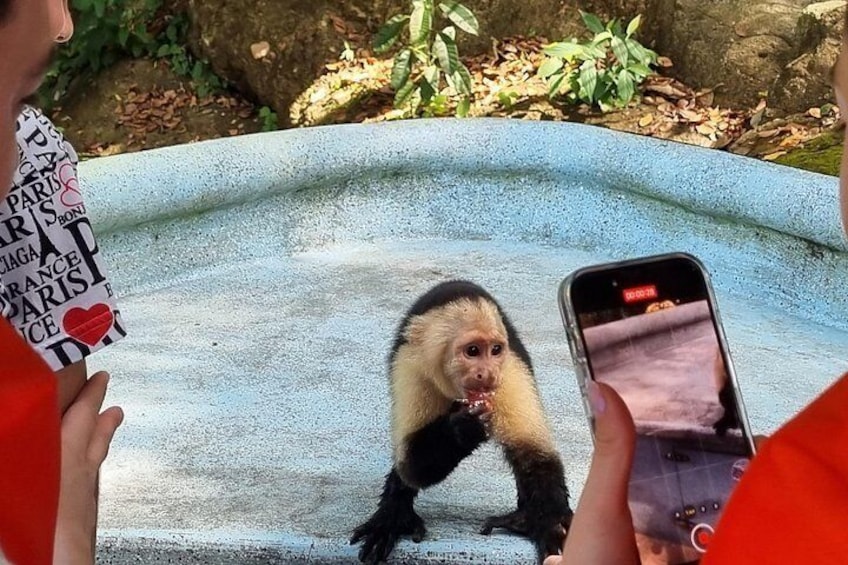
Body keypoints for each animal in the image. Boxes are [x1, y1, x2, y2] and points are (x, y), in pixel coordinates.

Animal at [350, 280, 574, 564]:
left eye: (495, 350)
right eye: (473, 351)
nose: (488, 374)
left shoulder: (508, 371)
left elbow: (534, 454)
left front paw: (551, 524)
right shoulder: (412, 368)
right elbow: (411, 467)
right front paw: (462, 430)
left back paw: (527, 518)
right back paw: (394, 513)